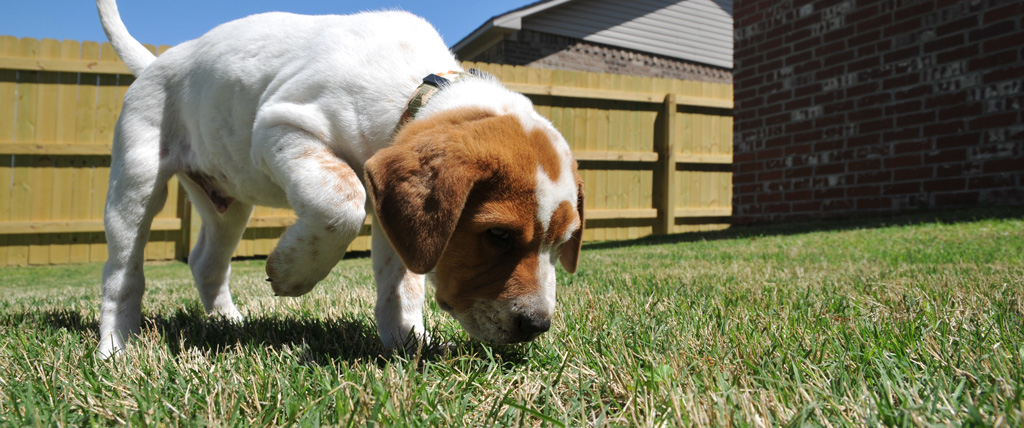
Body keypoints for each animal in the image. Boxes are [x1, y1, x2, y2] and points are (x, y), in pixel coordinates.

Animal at [96, 0, 585, 358]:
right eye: (498, 235)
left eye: (562, 243)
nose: (537, 325)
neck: (412, 89)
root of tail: (155, 63)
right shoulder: (283, 128)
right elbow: (342, 202)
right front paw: (291, 273)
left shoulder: (396, 212)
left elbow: (401, 283)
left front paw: (407, 342)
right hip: (137, 182)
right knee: (123, 272)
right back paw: (117, 347)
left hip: (227, 204)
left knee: (205, 262)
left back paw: (227, 324)